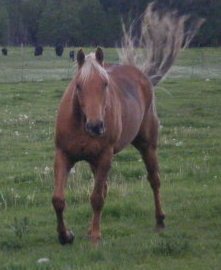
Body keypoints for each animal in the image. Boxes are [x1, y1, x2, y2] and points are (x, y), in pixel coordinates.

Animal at [52, 5, 204, 245]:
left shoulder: (105, 156)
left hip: (147, 146)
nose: (96, 126)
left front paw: (96, 236)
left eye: (105, 84)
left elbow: (96, 198)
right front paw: (65, 235)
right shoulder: (63, 155)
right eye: (78, 85)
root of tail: (143, 76)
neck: (81, 124)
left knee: (154, 180)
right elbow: (58, 199)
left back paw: (160, 221)